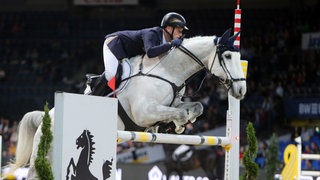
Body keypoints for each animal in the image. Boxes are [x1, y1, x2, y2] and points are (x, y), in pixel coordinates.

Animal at [5, 28, 246, 179]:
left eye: (238, 57)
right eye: (227, 56)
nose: (241, 90)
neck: (167, 71)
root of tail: (46, 117)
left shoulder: (173, 104)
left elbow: (196, 107)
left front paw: (177, 125)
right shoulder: (144, 112)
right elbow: (175, 114)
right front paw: (175, 126)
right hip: (45, 153)